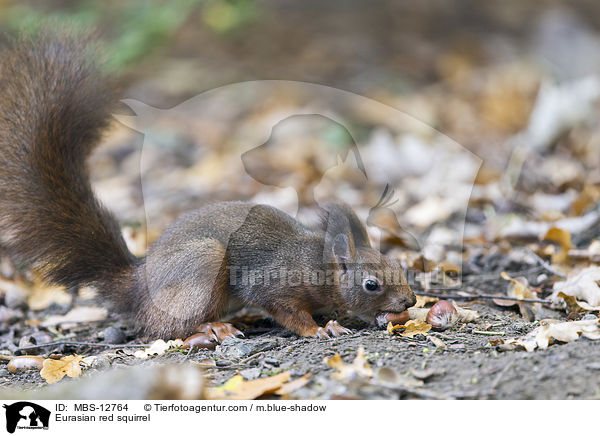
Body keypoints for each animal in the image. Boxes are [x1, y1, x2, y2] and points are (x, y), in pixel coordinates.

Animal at [0, 30, 414, 346]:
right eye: (372, 284)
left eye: (398, 265)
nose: (410, 301)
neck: (319, 264)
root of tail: (139, 286)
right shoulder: (274, 285)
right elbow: (287, 312)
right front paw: (319, 329)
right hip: (203, 266)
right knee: (166, 328)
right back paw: (213, 327)